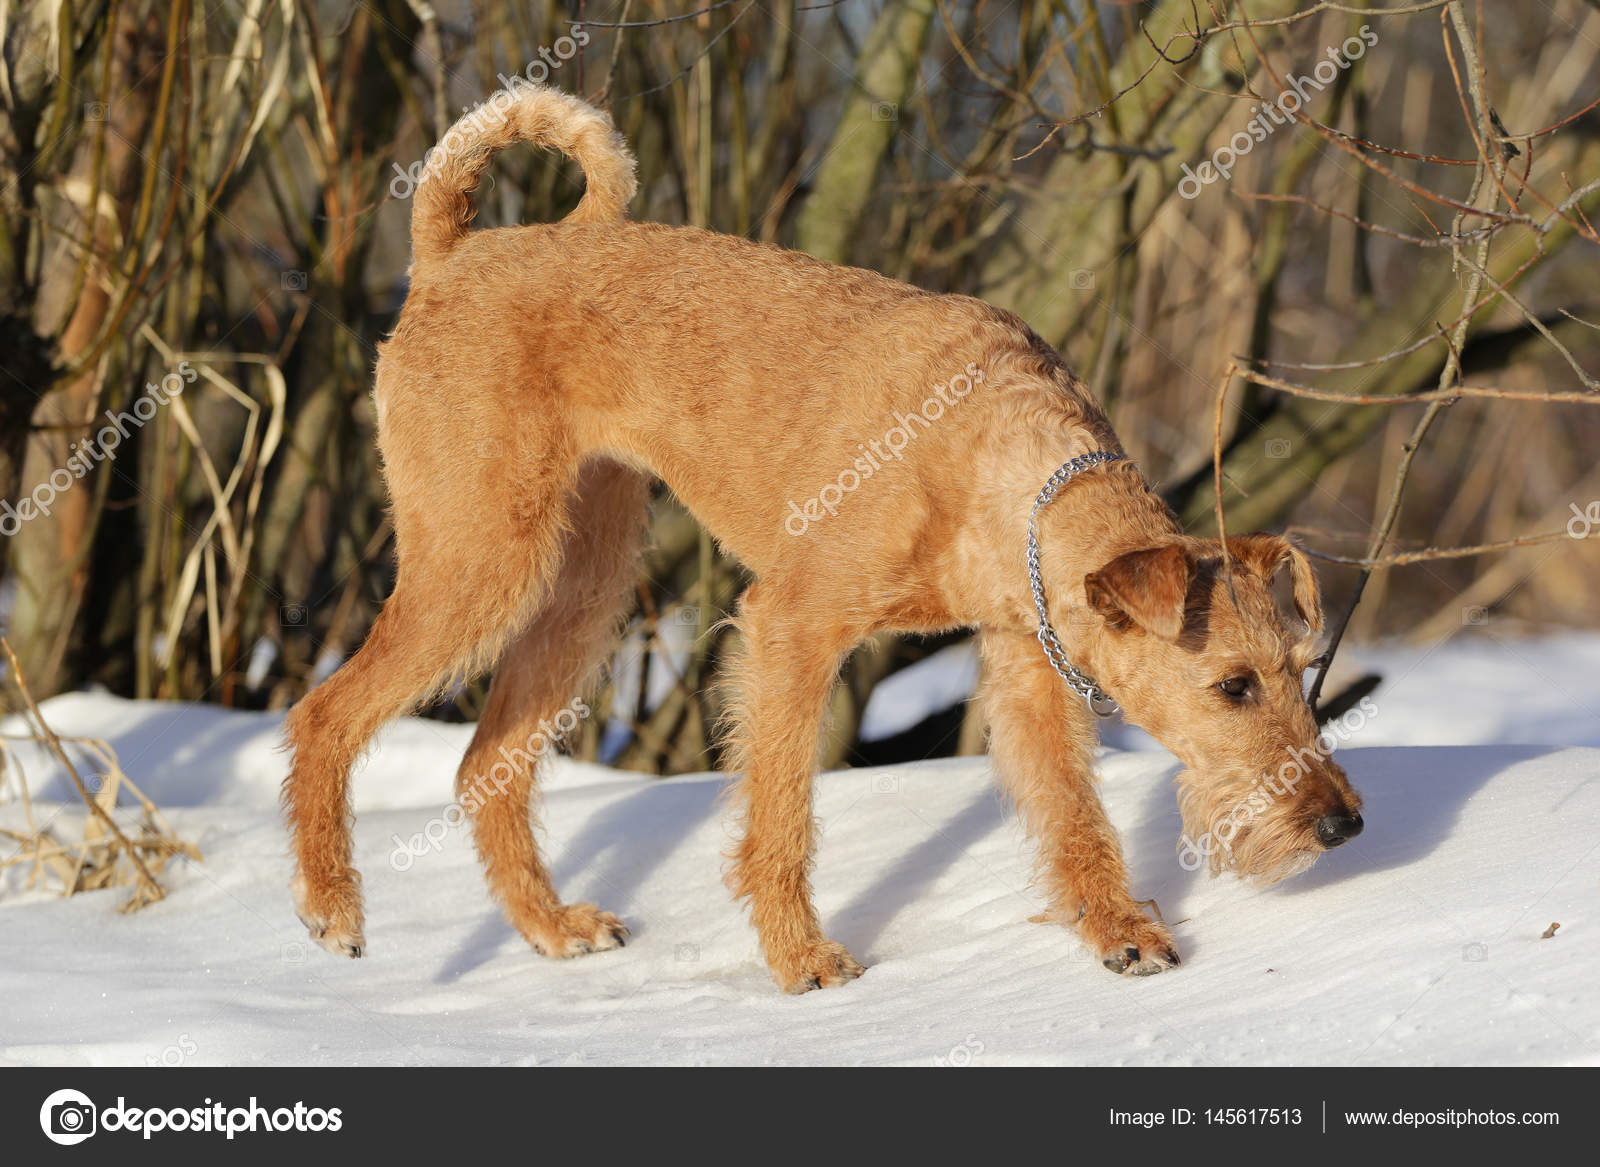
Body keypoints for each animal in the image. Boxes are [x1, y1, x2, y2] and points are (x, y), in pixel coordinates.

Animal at [281, 84, 1356, 992]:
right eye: (1233, 685)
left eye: (1303, 670)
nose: (1343, 823)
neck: (998, 463)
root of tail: (450, 254)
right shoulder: (792, 628)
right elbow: (782, 818)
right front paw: (802, 961)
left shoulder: (1028, 667)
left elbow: (1074, 815)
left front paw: (1123, 932)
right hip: (482, 561)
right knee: (324, 711)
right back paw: (333, 909)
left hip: (580, 586)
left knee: (485, 766)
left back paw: (554, 928)